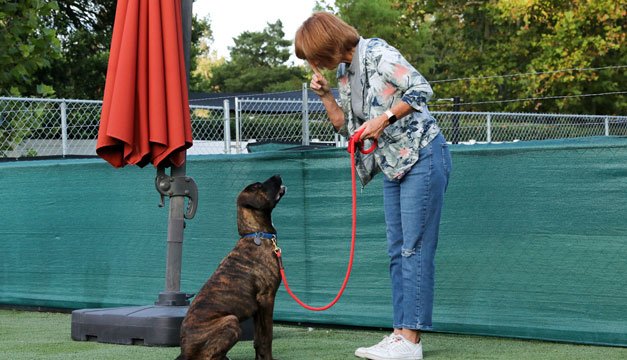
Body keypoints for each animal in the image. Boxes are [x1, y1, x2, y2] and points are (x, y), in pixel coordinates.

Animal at [175, 174, 286, 360]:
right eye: (259, 186)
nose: (277, 175)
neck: (256, 234)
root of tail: (185, 350)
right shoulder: (266, 298)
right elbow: (267, 337)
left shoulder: (258, 309)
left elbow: (258, 339)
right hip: (231, 321)